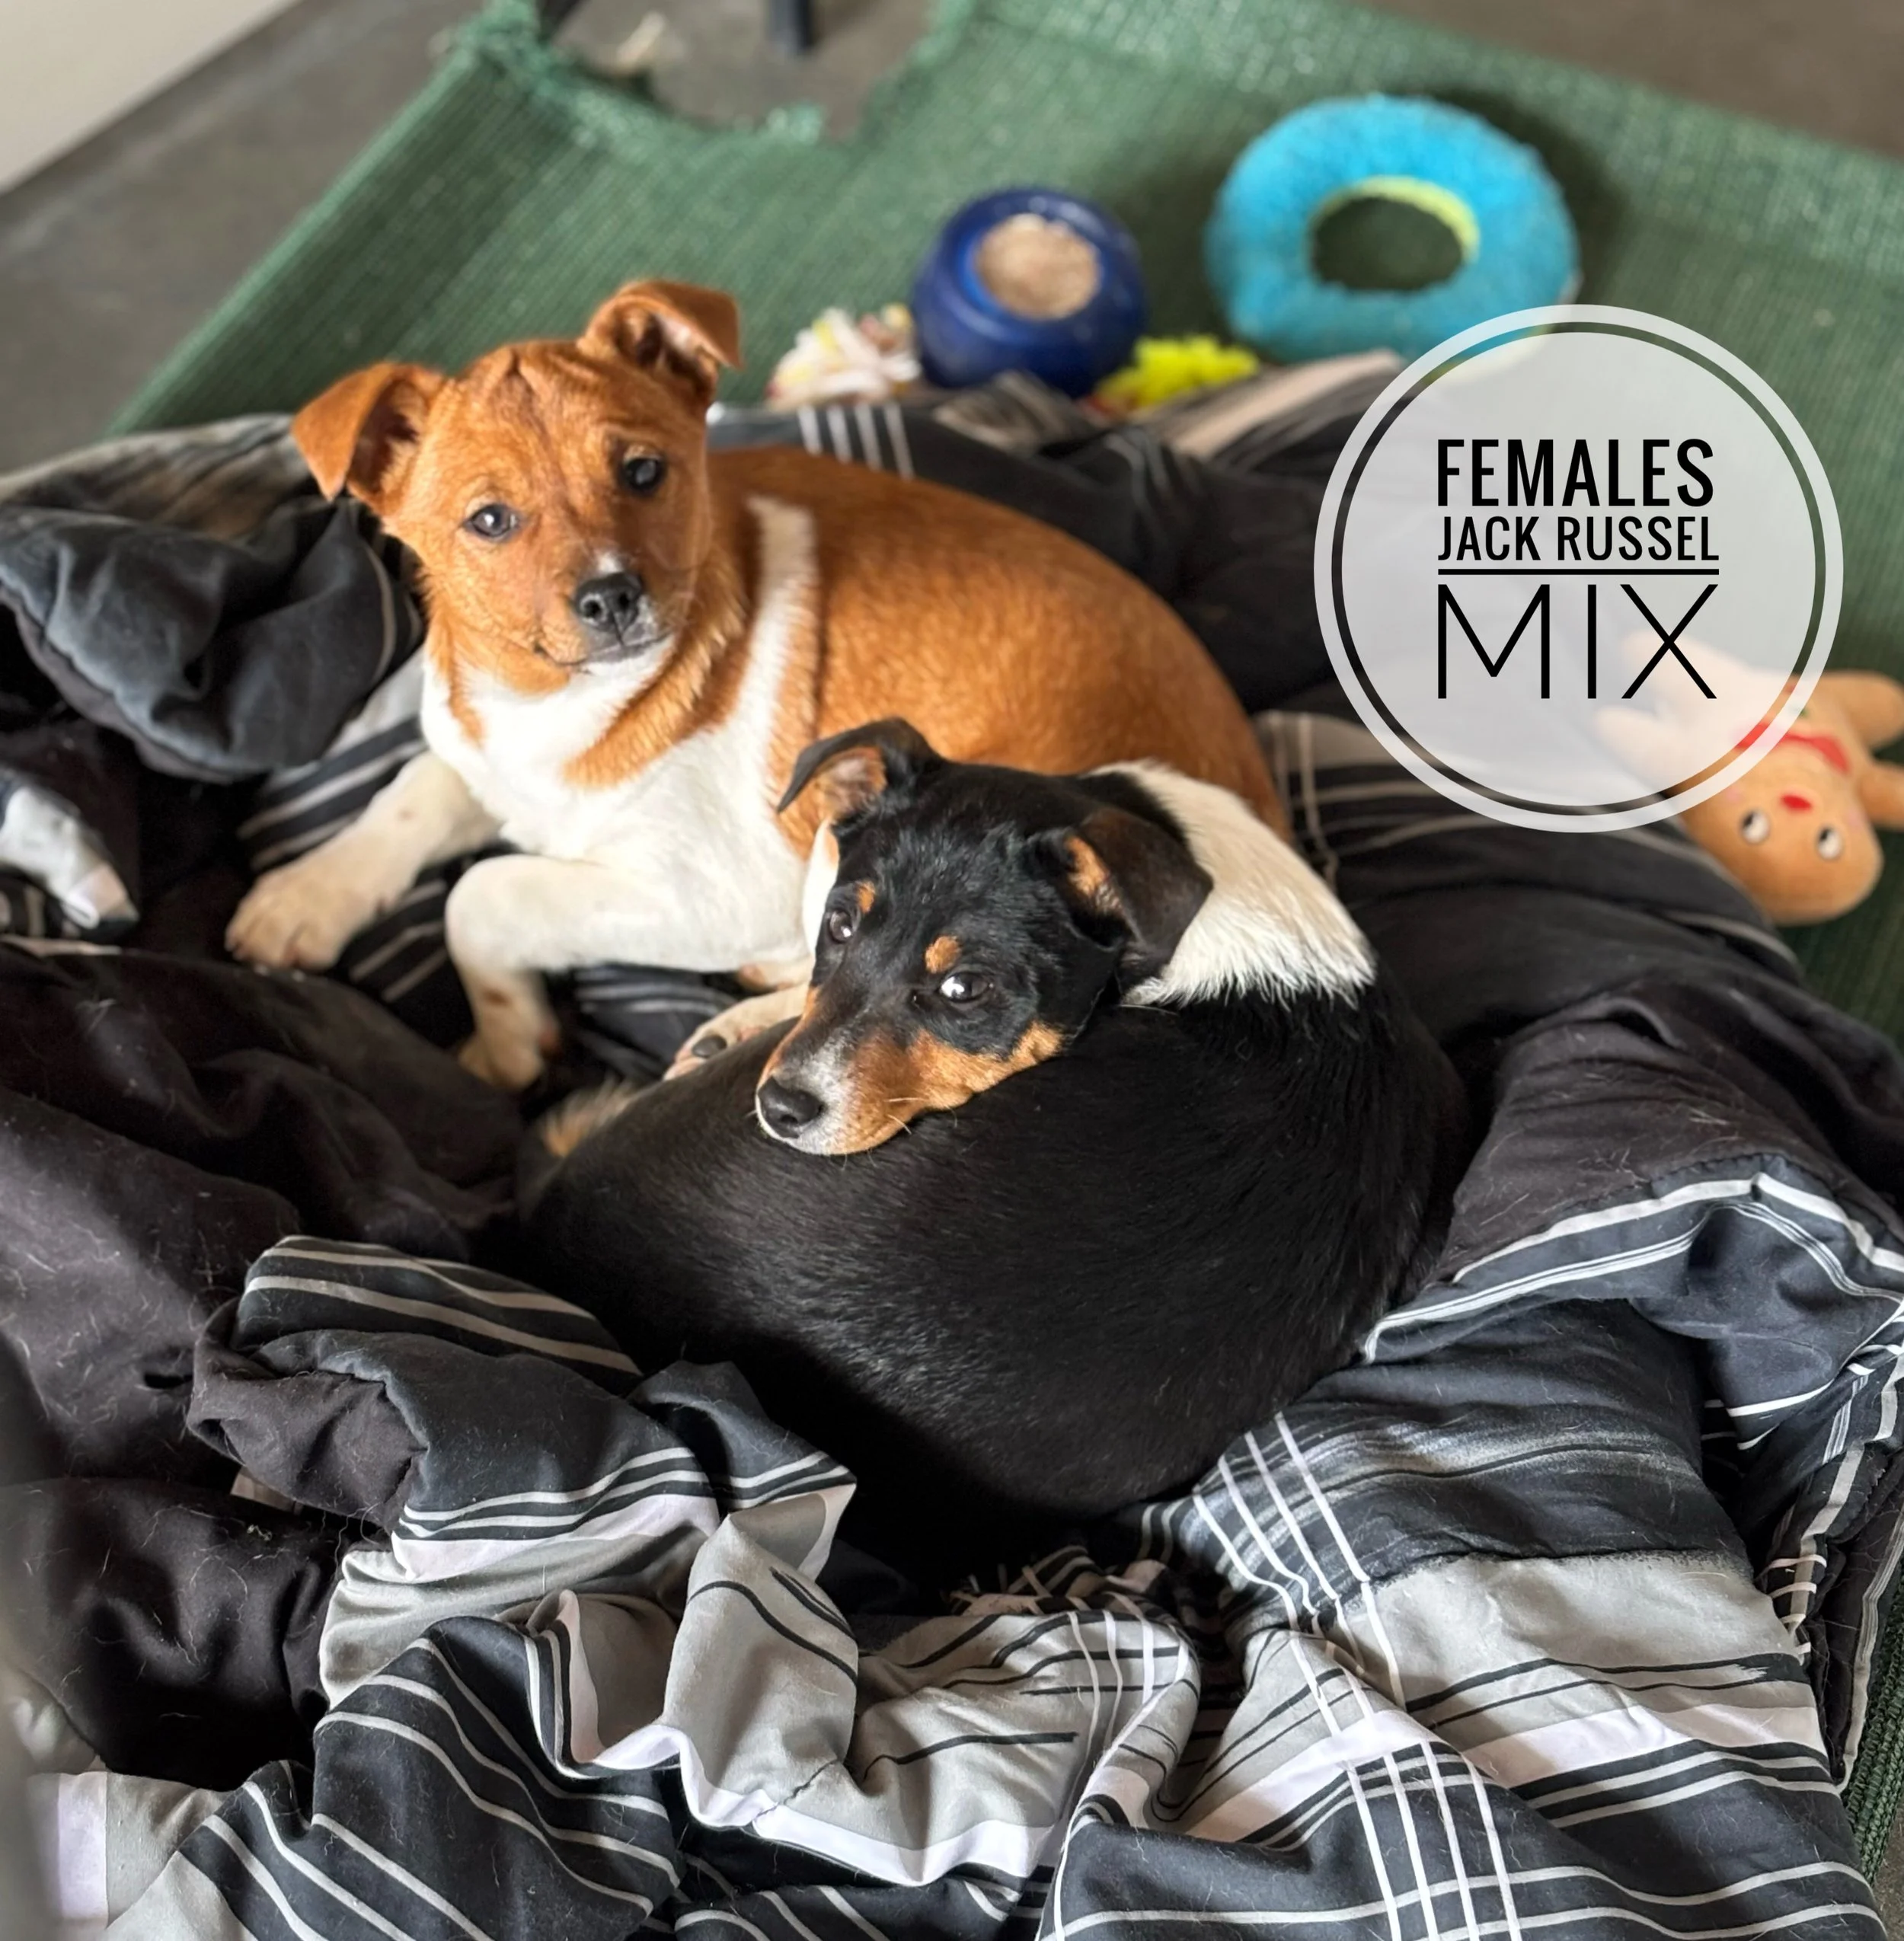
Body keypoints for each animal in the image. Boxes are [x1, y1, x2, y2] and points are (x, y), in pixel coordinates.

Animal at [224, 279, 1280, 1089]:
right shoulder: (480, 752)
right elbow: (415, 791)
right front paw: (303, 897)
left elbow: (485, 893)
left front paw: (507, 1040)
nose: (612, 595)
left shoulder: (709, 888)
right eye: (489, 521)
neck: (559, 708)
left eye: (643, 471)